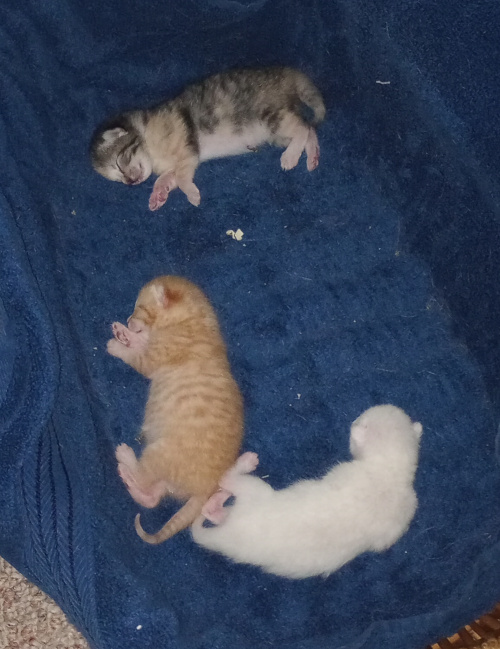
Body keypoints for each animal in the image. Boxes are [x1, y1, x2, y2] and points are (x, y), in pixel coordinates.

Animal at [89, 66, 324, 209]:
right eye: (117, 179)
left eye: (119, 163)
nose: (130, 183)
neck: (147, 137)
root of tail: (285, 75)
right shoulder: (178, 162)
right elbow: (168, 177)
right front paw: (159, 193)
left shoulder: (186, 148)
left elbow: (182, 178)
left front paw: (192, 195)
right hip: (275, 132)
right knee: (308, 129)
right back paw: (311, 157)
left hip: (270, 117)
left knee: (302, 128)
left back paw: (290, 158)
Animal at [107, 276, 244, 544]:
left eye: (139, 308)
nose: (128, 319)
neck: (196, 319)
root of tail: (207, 487)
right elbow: (142, 341)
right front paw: (123, 333)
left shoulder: (150, 361)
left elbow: (134, 354)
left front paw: (118, 344)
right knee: (152, 496)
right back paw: (128, 478)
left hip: (159, 453)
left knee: (144, 478)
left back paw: (125, 457)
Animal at [191, 404, 422, 576]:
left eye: (360, 418)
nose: (353, 421)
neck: (392, 468)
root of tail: (229, 536)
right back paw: (216, 503)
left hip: (255, 493)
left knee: (229, 480)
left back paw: (240, 469)